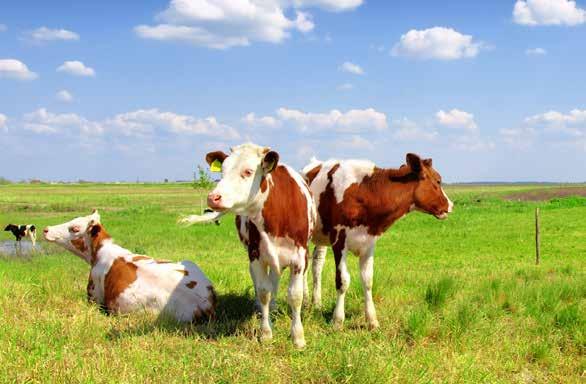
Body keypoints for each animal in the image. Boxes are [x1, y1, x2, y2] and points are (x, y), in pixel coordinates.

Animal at [180, 143, 312, 348]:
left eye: (248, 172)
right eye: (223, 170)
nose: (213, 197)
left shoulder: (299, 257)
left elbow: (295, 296)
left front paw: (298, 337)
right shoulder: (256, 255)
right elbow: (264, 291)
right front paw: (266, 333)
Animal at [302, 153, 452, 330]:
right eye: (438, 181)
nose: (450, 205)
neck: (365, 192)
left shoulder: (368, 243)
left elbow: (368, 280)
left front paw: (372, 321)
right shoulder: (339, 242)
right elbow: (342, 281)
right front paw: (337, 321)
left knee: (317, 265)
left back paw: (316, 303)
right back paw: (304, 301)